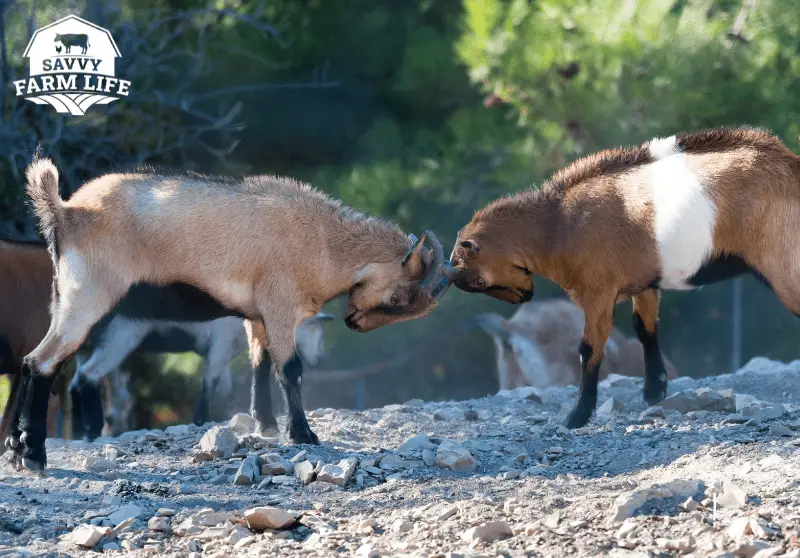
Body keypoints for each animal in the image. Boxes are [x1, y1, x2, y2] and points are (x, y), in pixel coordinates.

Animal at [71, 312, 334, 441]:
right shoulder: (220, 346)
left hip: (88, 348)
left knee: (76, 384)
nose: (321, 359)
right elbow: (210, 382)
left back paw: (80, 430)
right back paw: (91, 429)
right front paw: (201, 420)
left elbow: (225, 386)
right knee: (88, 377)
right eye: (313, 328)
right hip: (119, 339)